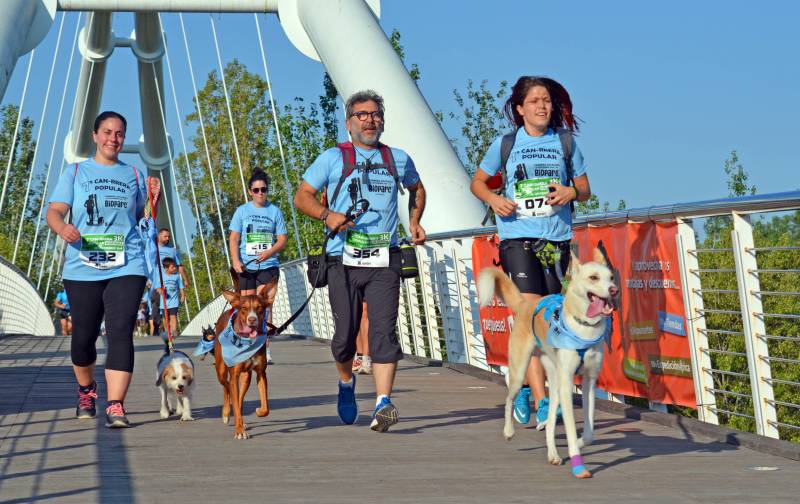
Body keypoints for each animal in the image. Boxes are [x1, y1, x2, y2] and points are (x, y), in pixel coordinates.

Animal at [212, 288, 276, 440]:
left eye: (259, 308)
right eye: (244, 308)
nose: (252, 319)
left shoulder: (261, 373)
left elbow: (266, 407)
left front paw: (258, 411)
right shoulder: (234, 374)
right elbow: (232, 393)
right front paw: (239, 430)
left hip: (246, 376)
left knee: (239, 398)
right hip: (221, 370)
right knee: (226, 387)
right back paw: (226, 413)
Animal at [478, 250, 620, 478]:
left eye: (611, 278)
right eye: (593, 278)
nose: (614, 290)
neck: (584, 327)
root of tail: (526, 304)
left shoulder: (589, 381)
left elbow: (589, 433)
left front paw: (580, 442)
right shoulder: (568, 382)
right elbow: (570, 428)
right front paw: (578, 464)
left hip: (554, 382)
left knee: (551, 421)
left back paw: (552, 454)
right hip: (521, 371)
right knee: (509, 398)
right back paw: (508, 431)